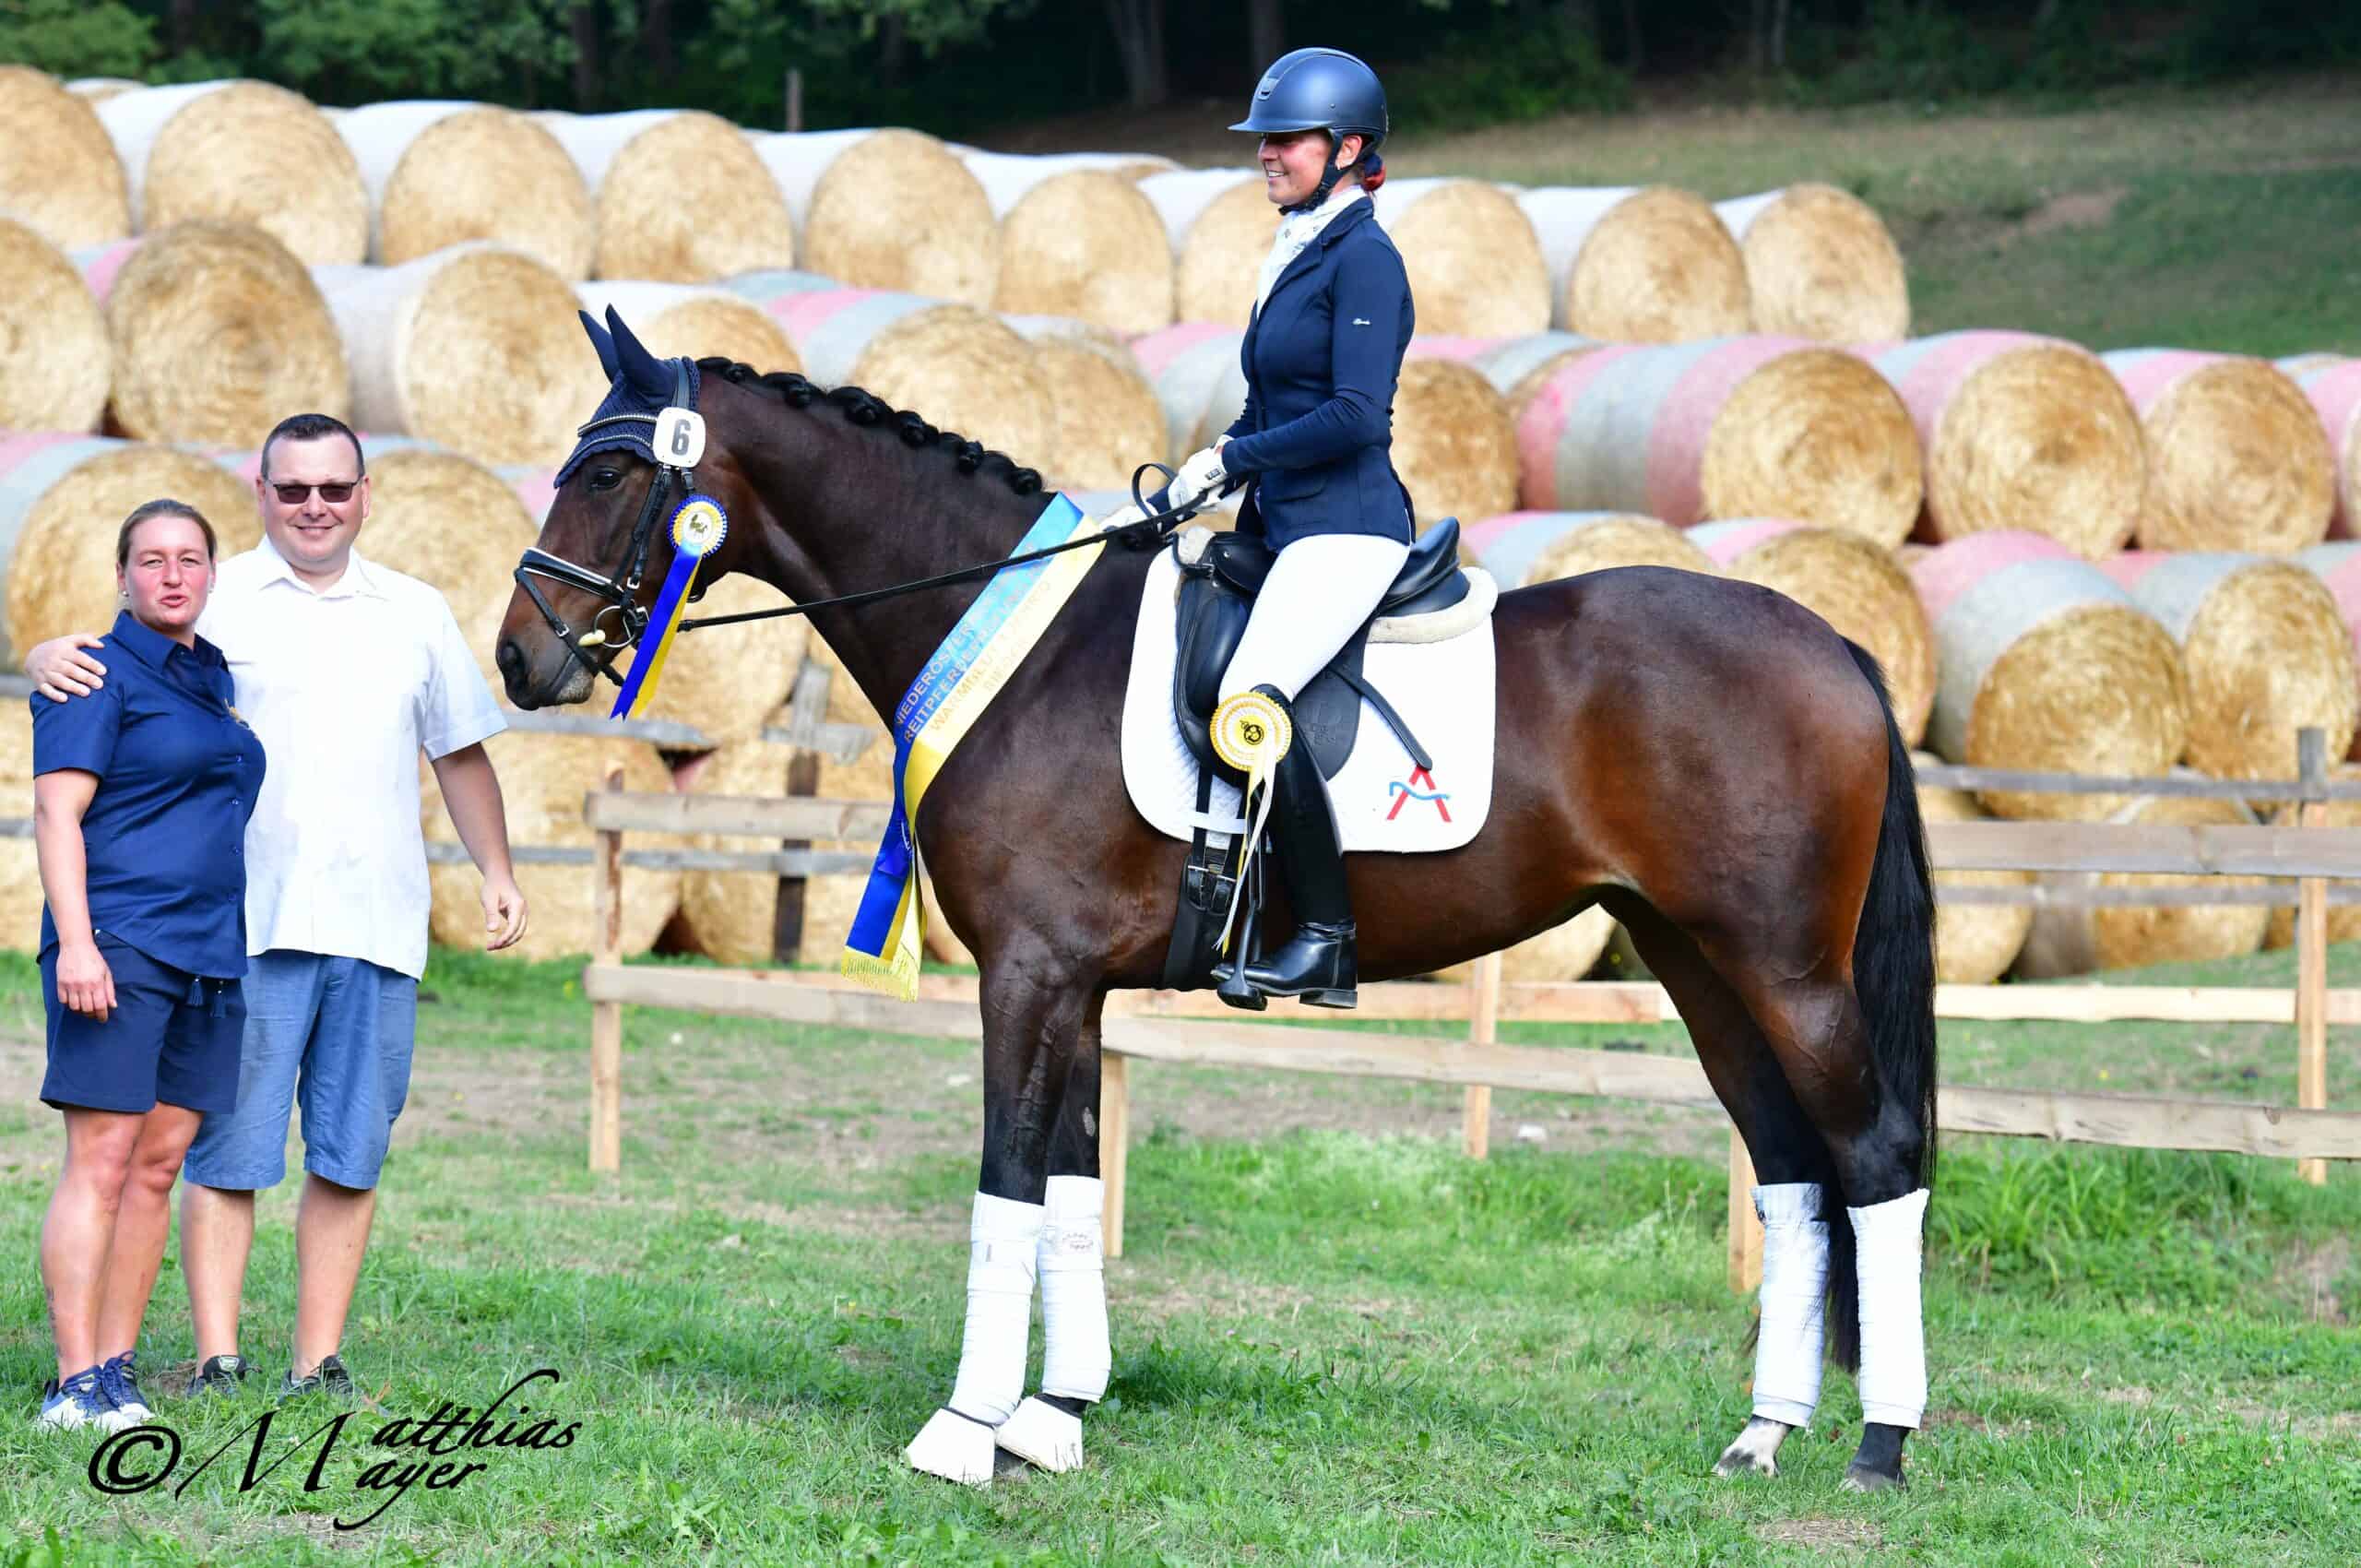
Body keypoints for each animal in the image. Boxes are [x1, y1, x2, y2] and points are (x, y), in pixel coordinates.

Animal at [496, 314, 1939, 1493]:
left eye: (610, 473)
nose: (520, 659)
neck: (1022, 648)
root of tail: (1832, 640)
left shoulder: (1026, 973)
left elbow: (1007, 1182)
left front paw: (964, 1430)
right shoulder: (1072, 984)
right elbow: (1072, 1189)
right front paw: (1055, 1417)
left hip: (1784, 966)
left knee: (1873, 1158)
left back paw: (1880, 1444)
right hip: (1696, 961)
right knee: (1793, 1171)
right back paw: (1762, 1434)